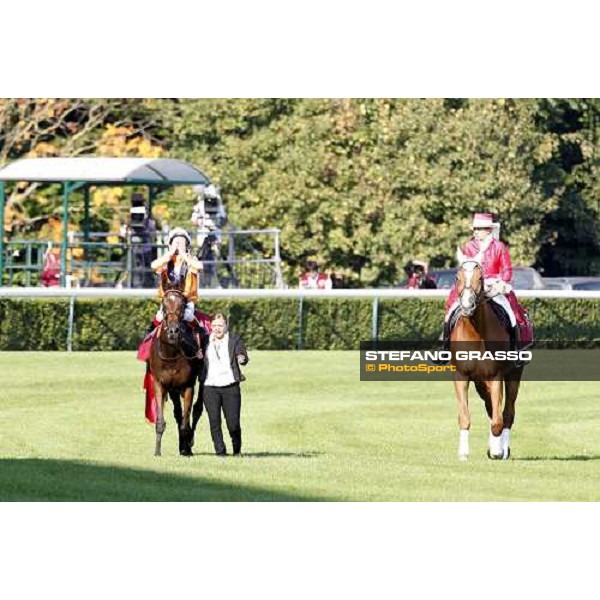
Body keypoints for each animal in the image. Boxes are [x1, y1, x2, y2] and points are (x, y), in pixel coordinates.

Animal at [148, 276, 204, 454]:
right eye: (164, 304)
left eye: (183, 304)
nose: (173, 331)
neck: (171, 355)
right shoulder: (160, 383)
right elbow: (162, 420)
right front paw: (157, 451)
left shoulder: (188, 385)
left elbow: (186, 422)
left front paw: (186, 448)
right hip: (172, 389)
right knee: (178, 413)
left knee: (197, 410)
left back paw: (188, 444)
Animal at [452, 251, 524, 462]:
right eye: (457, 278)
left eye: (481, 278)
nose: (467, 305)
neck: (476, 333)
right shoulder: (461, 376)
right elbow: (465, 416)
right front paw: (463, 452)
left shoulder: (496, 376)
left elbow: (499, 419)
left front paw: (497, 450)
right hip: (480, 382)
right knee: (492, 409)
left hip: (514, 375)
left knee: (507, 413)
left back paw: (502, 449)